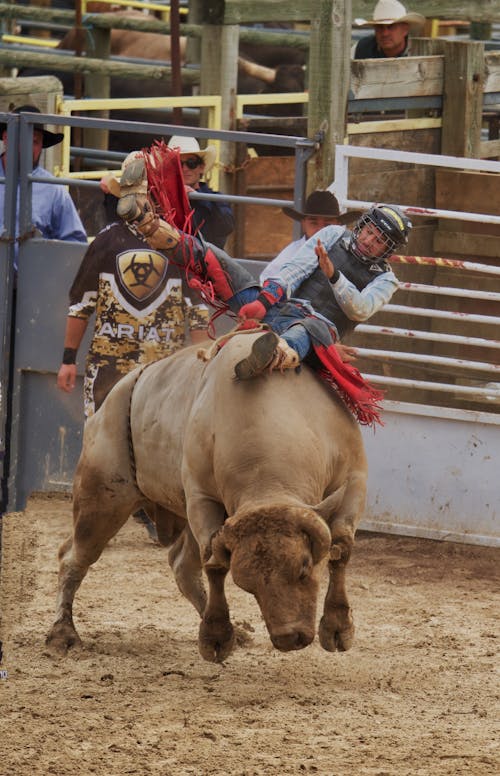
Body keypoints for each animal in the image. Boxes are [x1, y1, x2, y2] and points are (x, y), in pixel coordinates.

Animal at [46, 332, 367, 662]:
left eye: (304, 568)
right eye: (247, 586)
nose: (289, 638)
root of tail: (106, 406)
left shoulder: (355, 479)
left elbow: (342, 547)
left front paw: (338, 627)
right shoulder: (201, 500)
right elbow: (214, 564)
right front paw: (215, 635)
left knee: (181, 566)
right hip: (101, 498)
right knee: (73, 558)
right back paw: (63, 633)